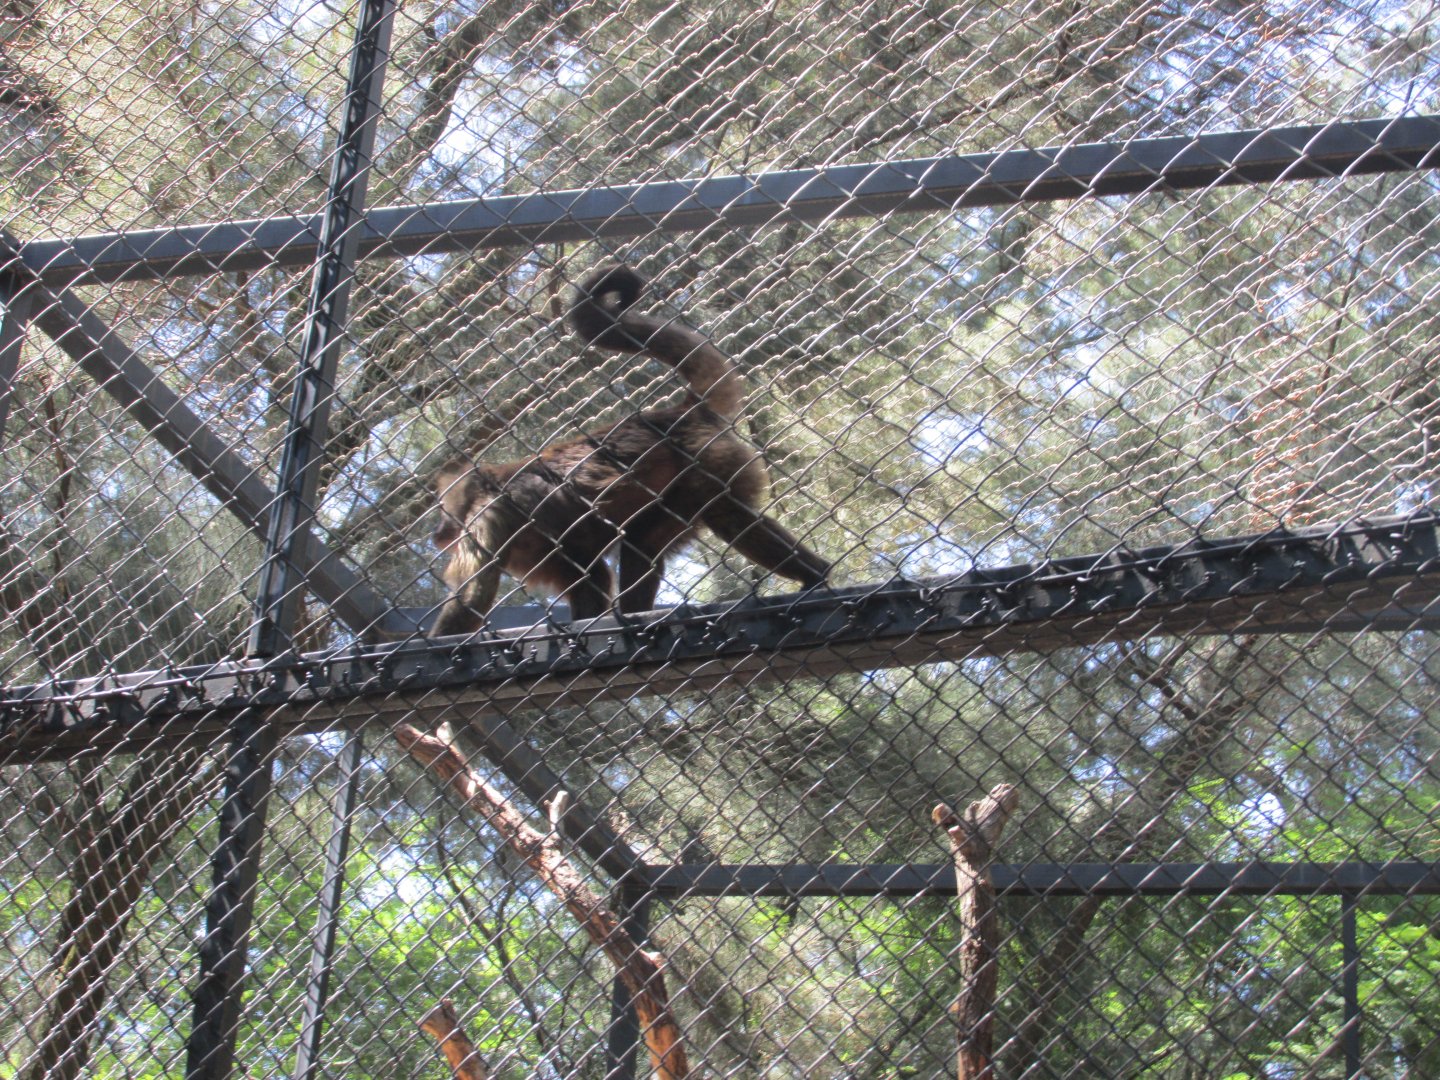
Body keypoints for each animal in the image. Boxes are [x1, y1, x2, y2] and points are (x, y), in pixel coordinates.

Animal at [429, 265, 831, 636]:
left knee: (727, 516)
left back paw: (815, 576)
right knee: (643, 544)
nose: (438, 531)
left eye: (444, 510)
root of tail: (675, 413)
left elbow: (471, 597)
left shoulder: (487, 515)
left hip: (705, 458)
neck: (492, 483)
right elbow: (588, 575)